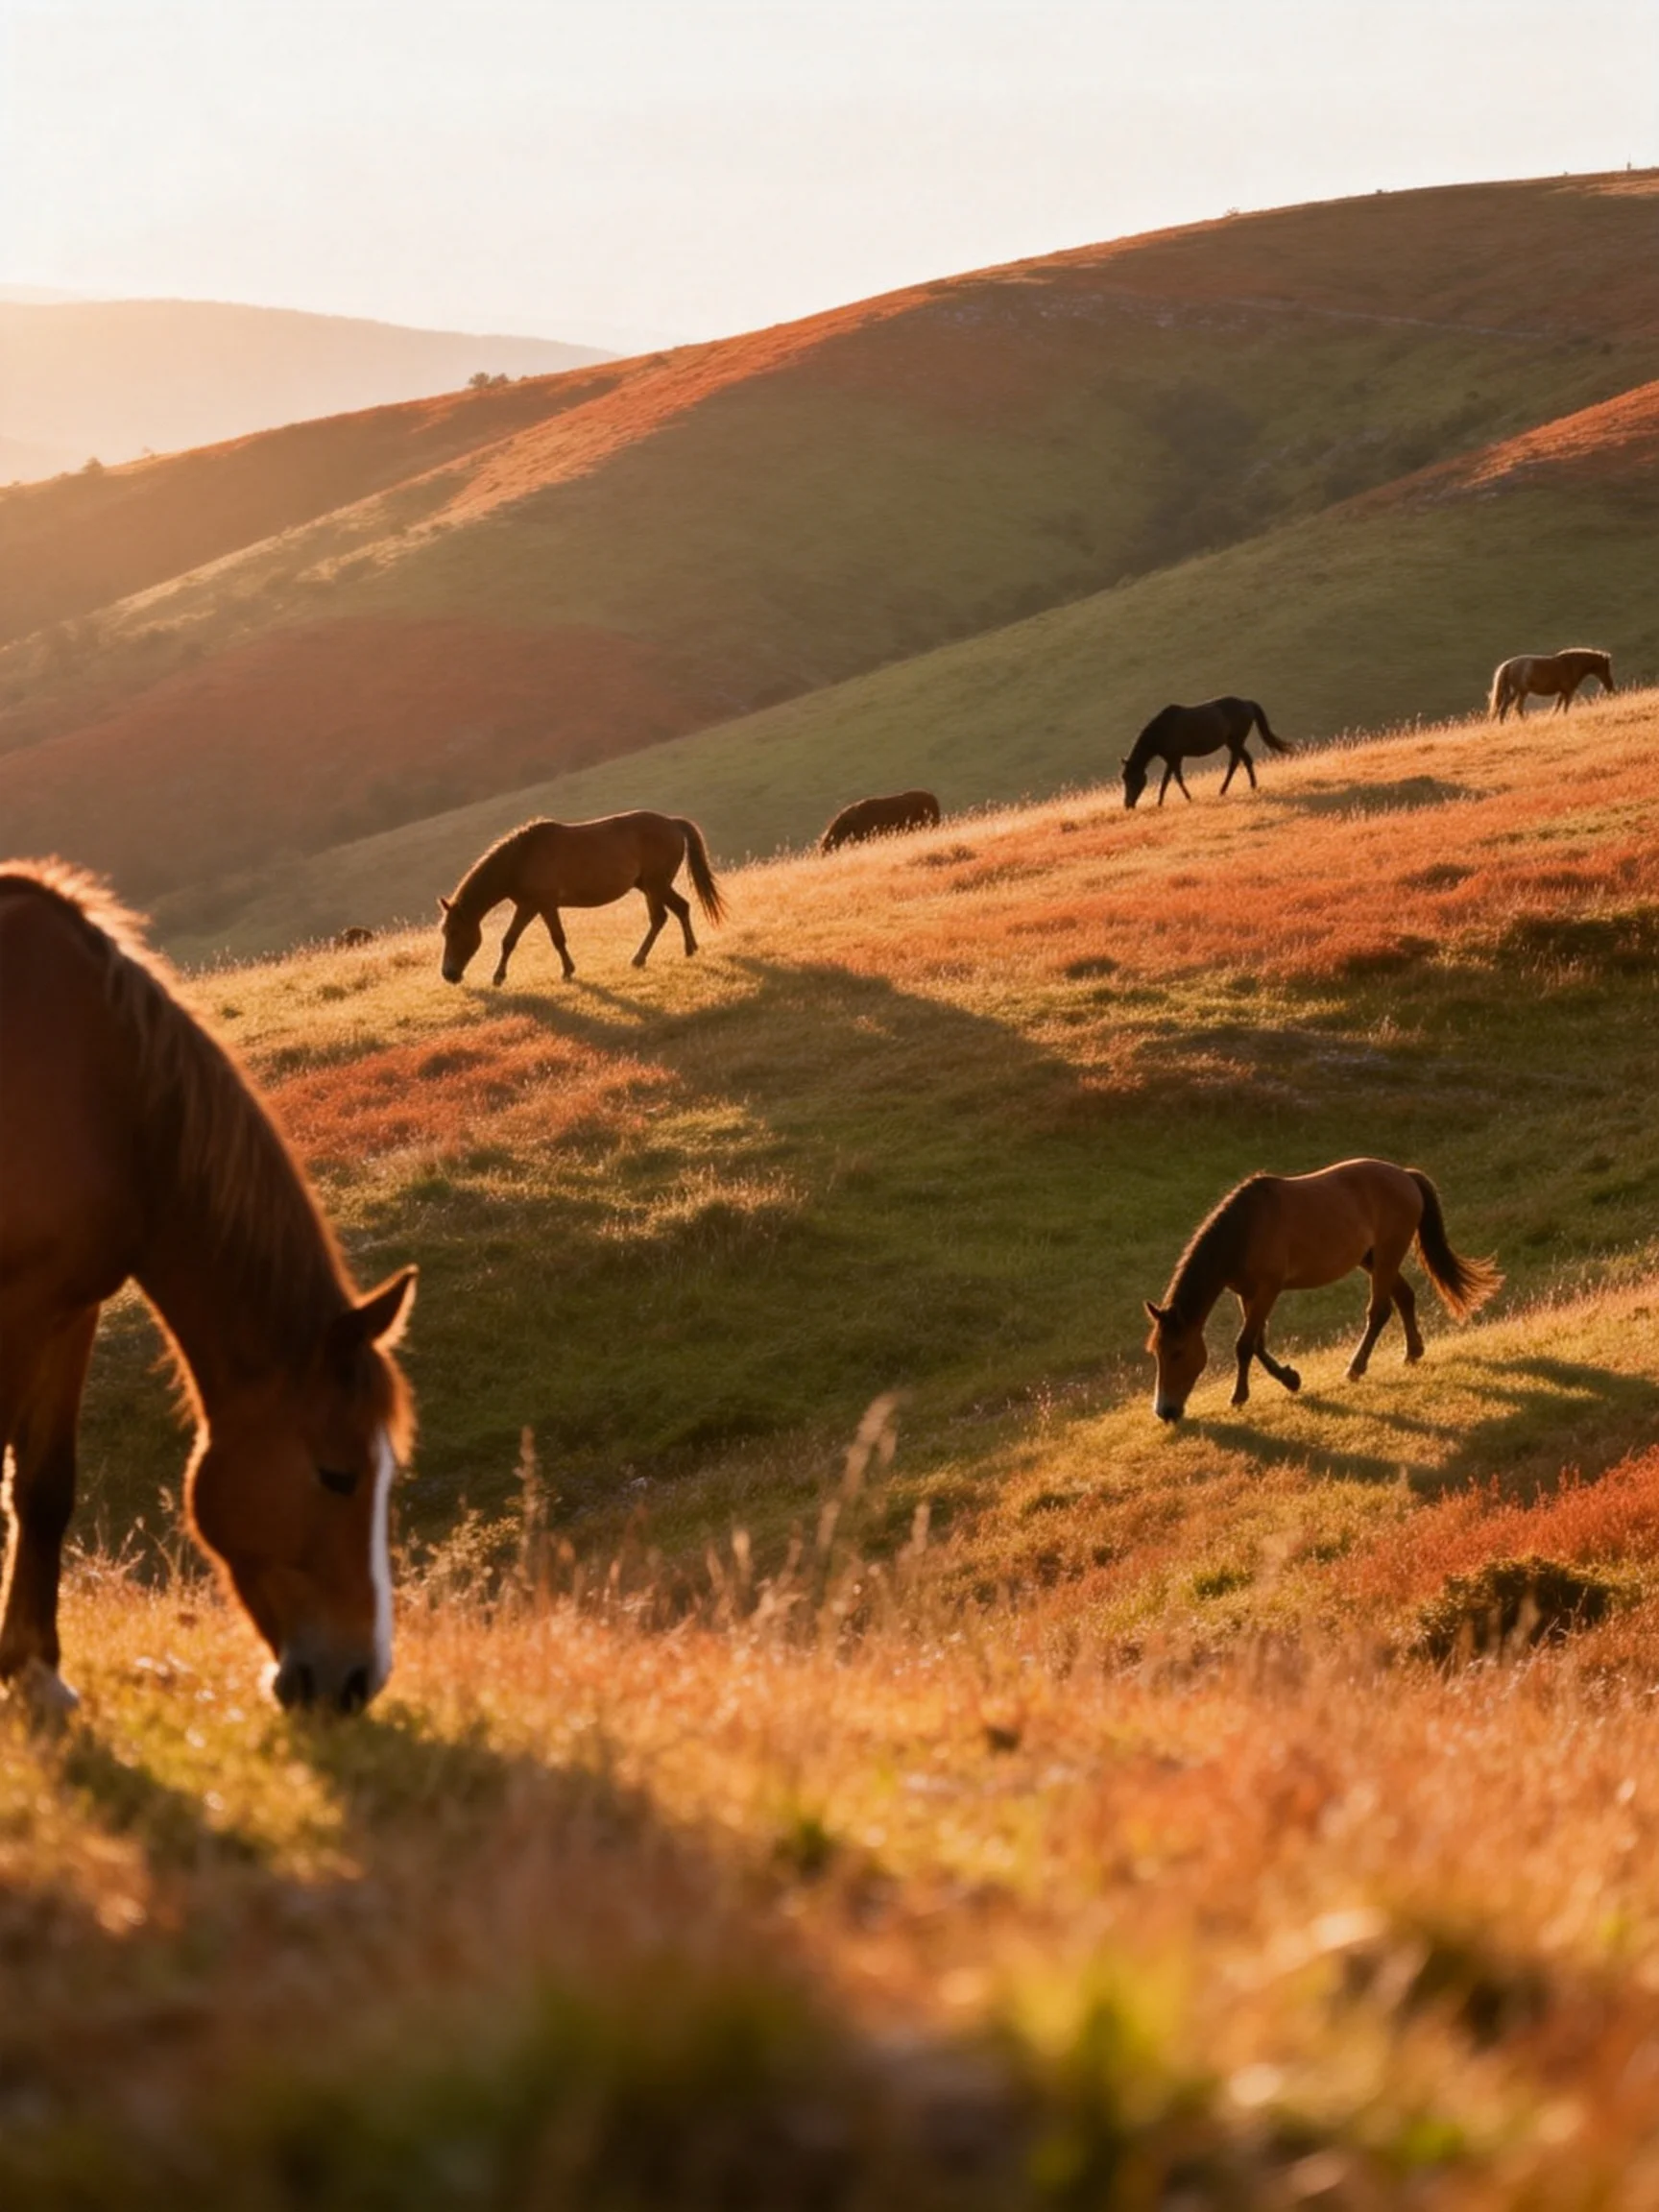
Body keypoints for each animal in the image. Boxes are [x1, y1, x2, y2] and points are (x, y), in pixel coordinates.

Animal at [439, 812, 725, 985]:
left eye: (454, 932)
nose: (448, 974)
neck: (520, 859)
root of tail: (672, 823)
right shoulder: (528, 906)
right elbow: (509, 941)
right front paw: (499, 977)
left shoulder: (543, 906)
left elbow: (554, 938)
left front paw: (567, 971)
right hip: (649, 887)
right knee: (663, 917)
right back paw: (645, 957)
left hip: (657, 885)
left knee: (679, 909)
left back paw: (686, 950)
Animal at [1122, 697, 1291, 809]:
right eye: (1124, 778)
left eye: (1133, 779)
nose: (1128, 805)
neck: (1162, 730)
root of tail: (1247, 703)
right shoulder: (1173, 759)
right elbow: (1172, 779)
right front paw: (1165, 801)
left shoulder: (1174, 758)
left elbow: (1171, 780)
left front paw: (1180, 799)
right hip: (1233, 742)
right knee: (1243, 760)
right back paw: (1245, 787)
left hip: (1236, 741)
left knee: (1238, 761)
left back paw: (1230, 789)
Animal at [1143, 1158, 1500, 1422]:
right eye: (1156, 1353)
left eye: (1177, 1352)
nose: (1165, 1411)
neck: (1245, 1229)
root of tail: (1405, 1175)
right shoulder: (1247, 1293)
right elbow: (1257, 1343)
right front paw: (1291, 1379)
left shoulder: (1268, 1289)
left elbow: (1244, 1345)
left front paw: (1240, 1396)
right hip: (1373, 1259)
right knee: (1403, 1297)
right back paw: (1412, 1352)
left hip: (1388, 1253)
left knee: (1379, 1311)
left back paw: (1356, 1368)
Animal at [1488, 649, 1614, 722]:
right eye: (1605, 667)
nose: (1610, 687)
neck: (1570, 665)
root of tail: (1508, 664)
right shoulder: (1568, 692)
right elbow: (1565, 706)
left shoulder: (1562, 692)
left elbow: (1557, 706)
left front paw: (1552, 717)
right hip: (1522, 692)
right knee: (1517, 708)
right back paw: (1525, 721)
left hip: (1515, 692)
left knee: (1503, 708)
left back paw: (1502, 723)